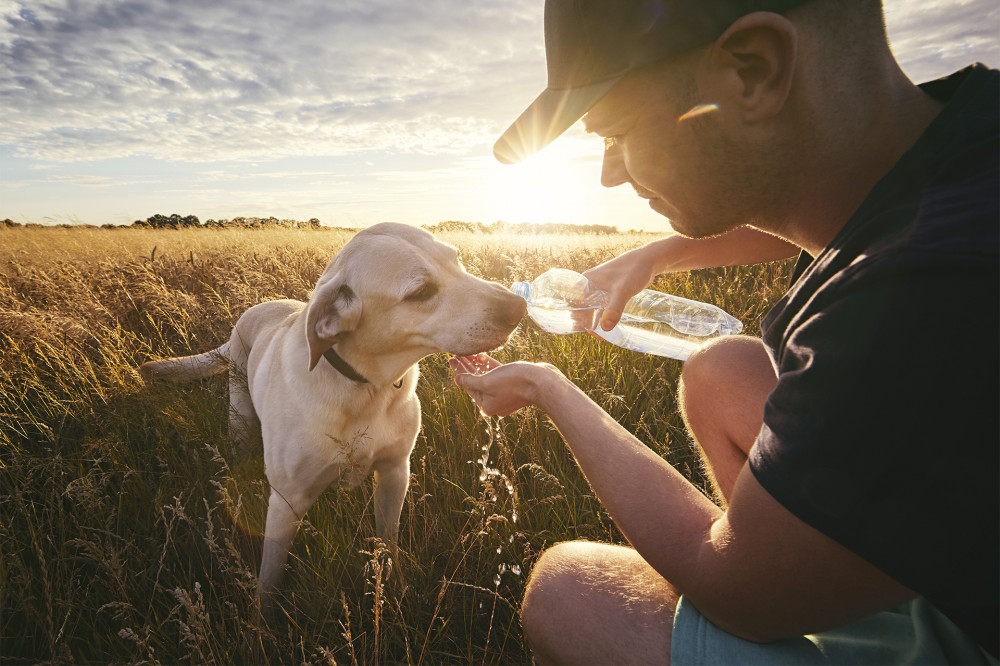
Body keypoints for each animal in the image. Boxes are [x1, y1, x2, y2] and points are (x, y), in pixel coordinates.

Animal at [143, 222, 532, 600]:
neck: (365, 388)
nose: (518, 307)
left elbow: (389, 542)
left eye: (456, 259)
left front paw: (396, 590)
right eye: (420, 292)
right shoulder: (286, 500)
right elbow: (269, 577)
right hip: (239, 416)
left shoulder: (395, 472)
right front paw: (262, 619)